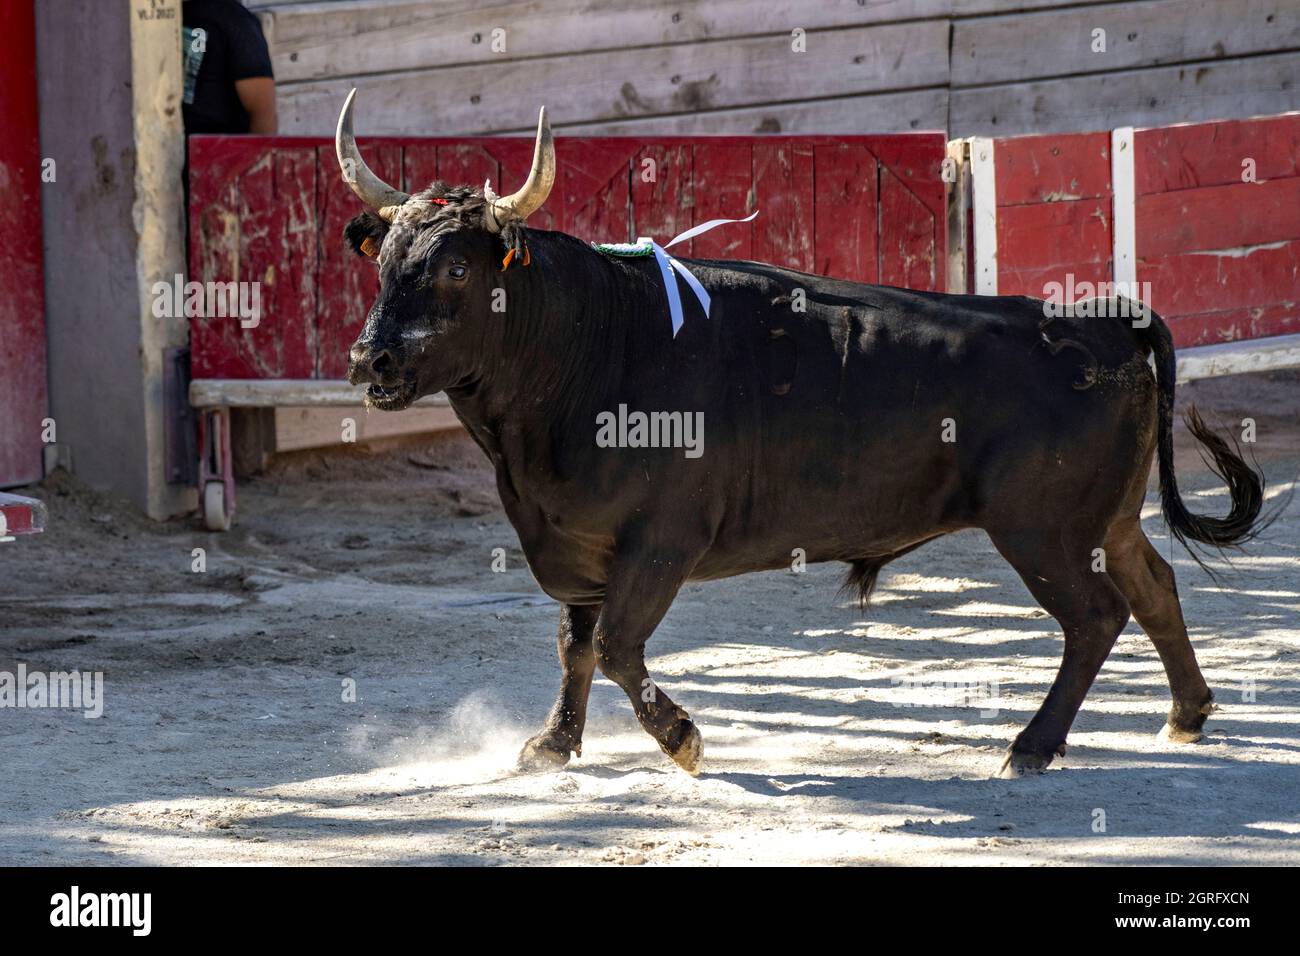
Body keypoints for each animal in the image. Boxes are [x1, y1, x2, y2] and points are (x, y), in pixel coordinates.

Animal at [343, 192, 1258, 780]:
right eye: (383, 264)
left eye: (457, 273)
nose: (370, 360)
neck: (588, 347)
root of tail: (1104, 318)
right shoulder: (578, 542)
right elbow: (575, 646)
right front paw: (553, 747)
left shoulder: (659, 544)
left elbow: (616, 647)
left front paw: (683, 741)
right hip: (1106, 522)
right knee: (1154, 587)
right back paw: (1186, 715)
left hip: (1043, 531)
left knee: (1096, 616)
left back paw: (1032, 746)